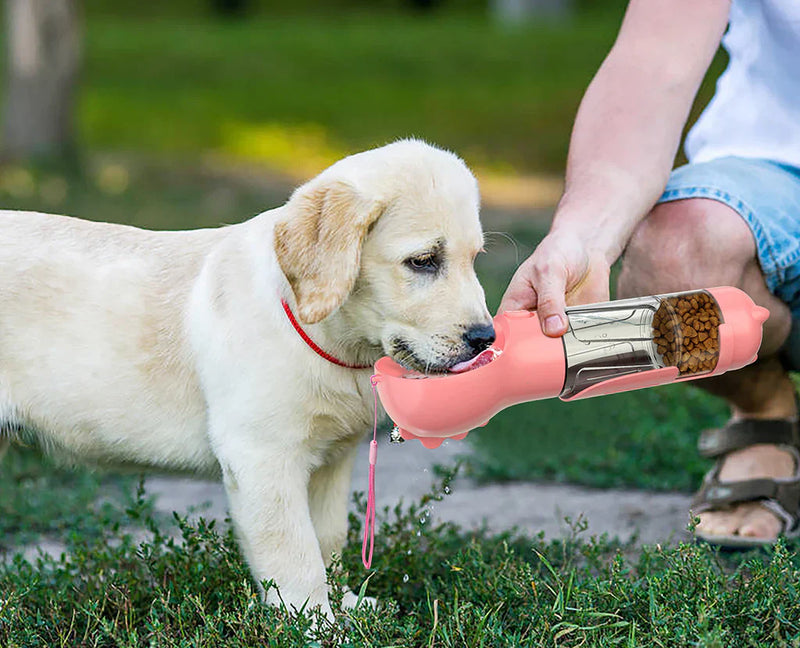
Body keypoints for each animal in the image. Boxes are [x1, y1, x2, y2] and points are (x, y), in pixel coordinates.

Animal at [0, 140, 494, 616]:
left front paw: (346, 605)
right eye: (423, 261)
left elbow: (328, 539)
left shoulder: (332, 461)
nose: (486, 338)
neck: (330, 339)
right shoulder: (262, 456)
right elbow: (295, 555)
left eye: (475, 259)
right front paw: (315, 624)